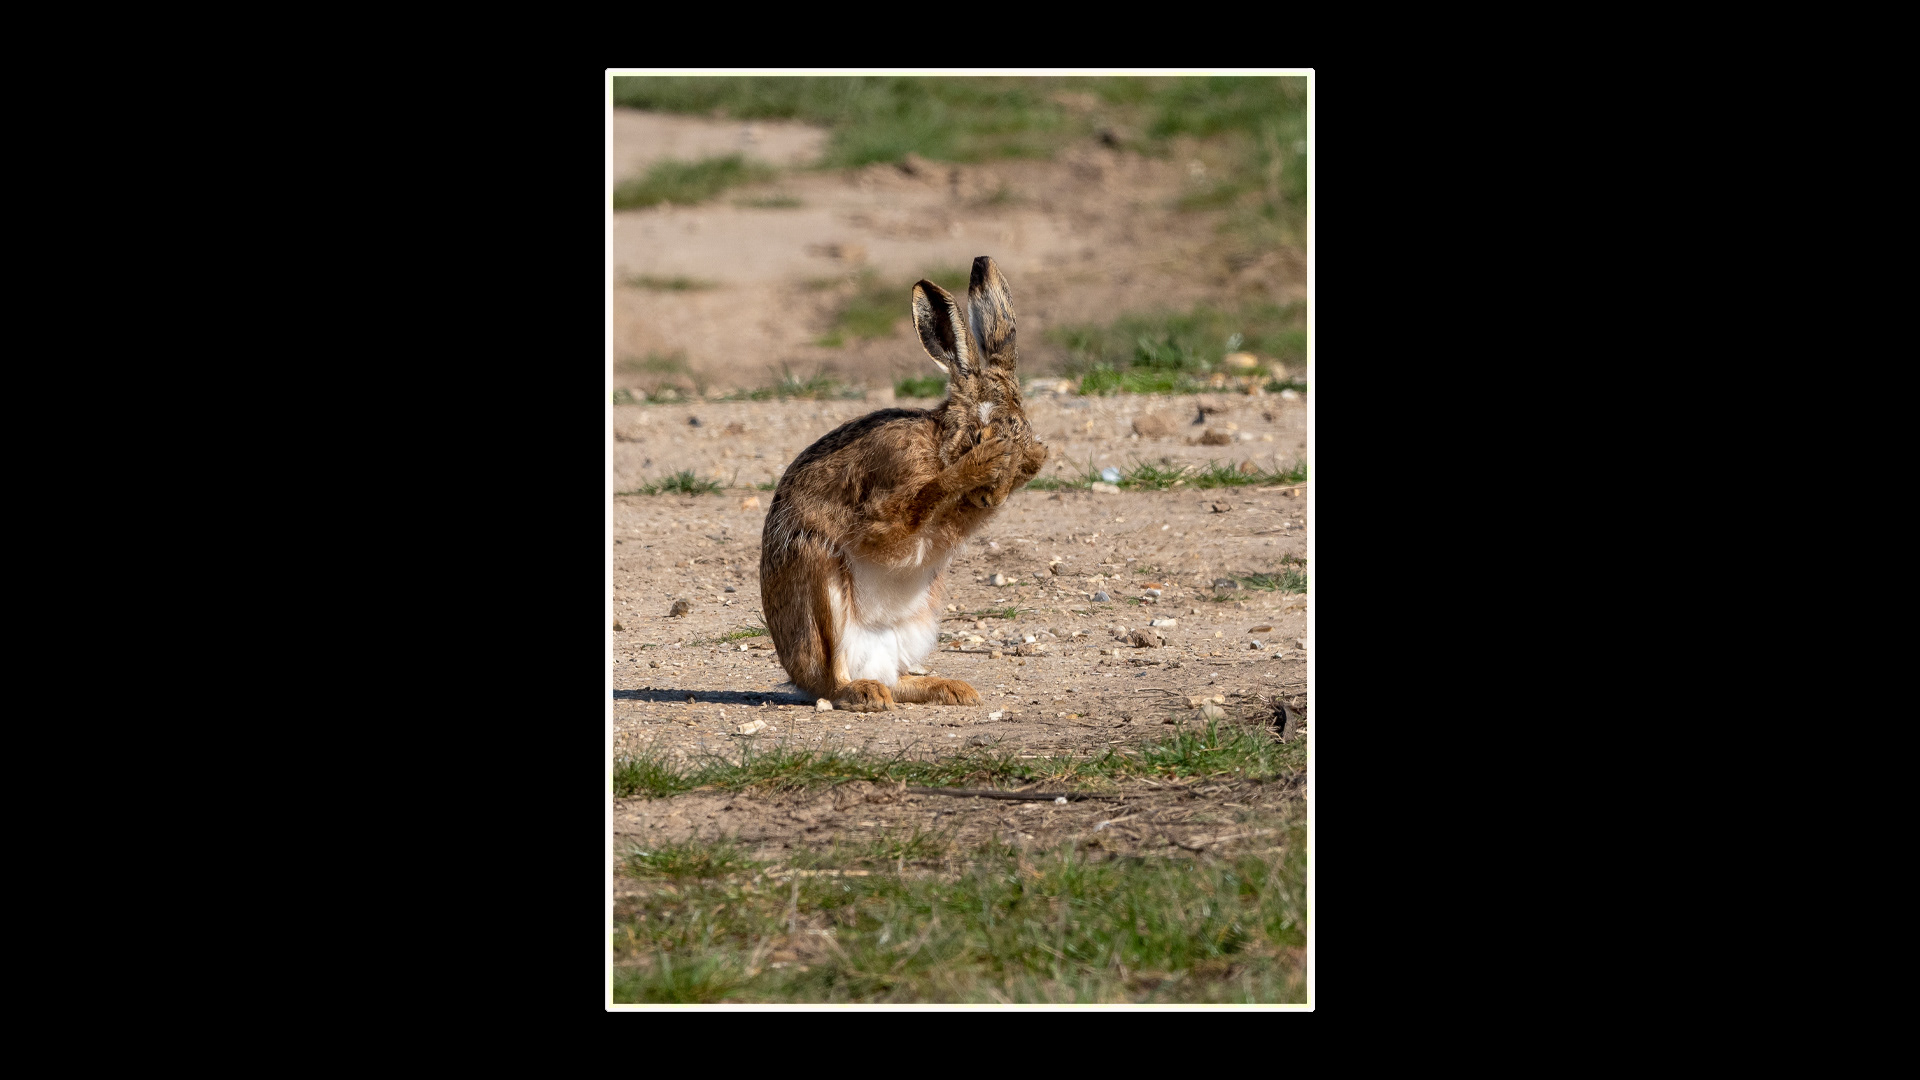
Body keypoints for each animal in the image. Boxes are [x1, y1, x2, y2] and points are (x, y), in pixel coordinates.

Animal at [760, 256, 1049, 713]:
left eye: (1024, 462)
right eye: (980, 436)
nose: (991, 497)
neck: (940, 443)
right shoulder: (884, 507)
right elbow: (915, 507)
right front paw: (973, 468)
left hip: (921, 617)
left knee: (898, 679)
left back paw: (951, 688)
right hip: (818, 578)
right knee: (833, 680)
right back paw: (863, 692)